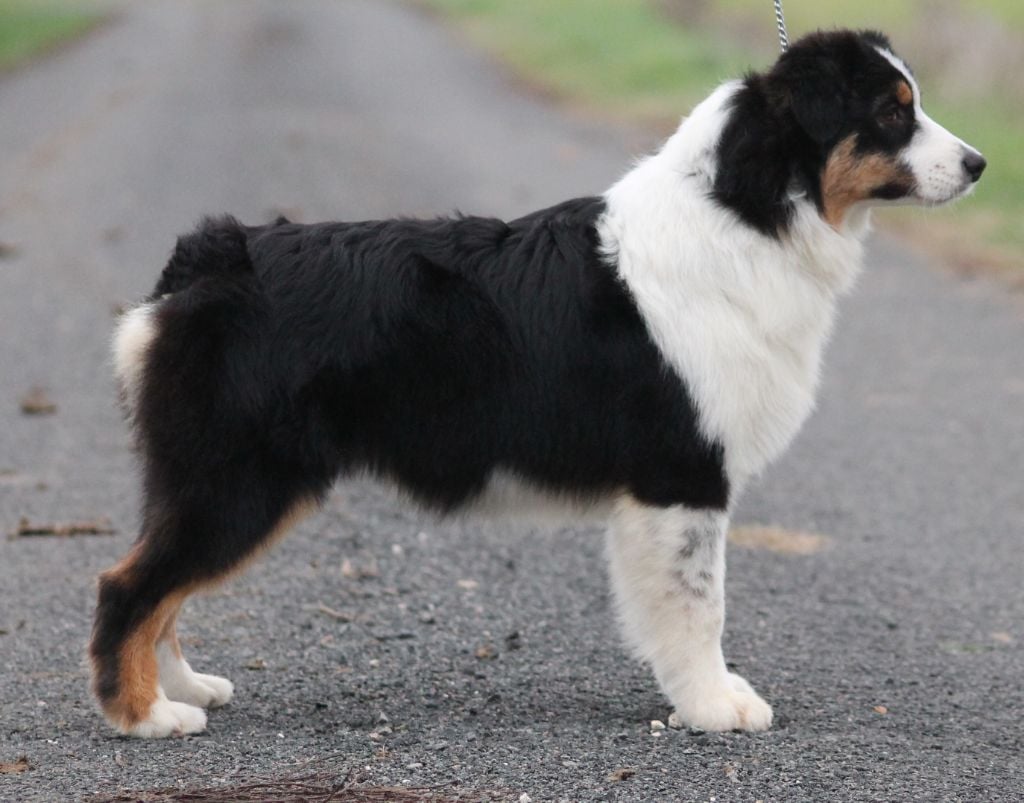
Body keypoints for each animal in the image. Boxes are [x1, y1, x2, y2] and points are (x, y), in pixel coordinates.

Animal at [91, 30, 985, 737]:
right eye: (892, 113)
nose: (979, 164)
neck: (747, 211)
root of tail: (208, 259)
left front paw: (704, 696)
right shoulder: (683, 474)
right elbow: (701, 603)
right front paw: (713, 705)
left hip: (210, 480)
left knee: (161, 588)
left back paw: (183, 686)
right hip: (238, 480)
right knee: (129, 586)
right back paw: (146, 715)